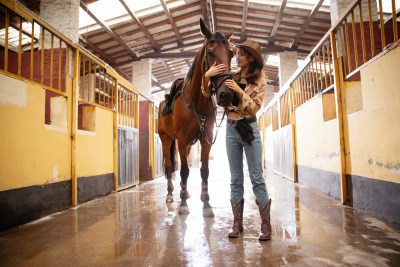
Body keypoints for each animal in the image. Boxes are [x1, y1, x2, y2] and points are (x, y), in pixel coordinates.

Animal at [159, 18, 234, 217]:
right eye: (210, 52)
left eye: (231, 53)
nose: (226, 95)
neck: (197, 100)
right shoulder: (182, 140)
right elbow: (184, 170)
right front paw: (183, 204)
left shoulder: (205, 139)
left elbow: (204, 170)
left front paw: (206, 203)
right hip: (166, 139)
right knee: (169, 166)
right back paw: (170, 194)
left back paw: (185, 192)